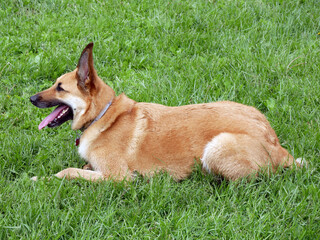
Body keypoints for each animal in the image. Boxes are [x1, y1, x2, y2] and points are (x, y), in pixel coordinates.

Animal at [28, 43, 302, 182]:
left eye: (60, 87)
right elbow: (82, 167)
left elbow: (68, 172)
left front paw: (43, 179)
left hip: (217, 147)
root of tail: (277, 145)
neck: (103, 116)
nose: (31, 99)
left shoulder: (119, 178)